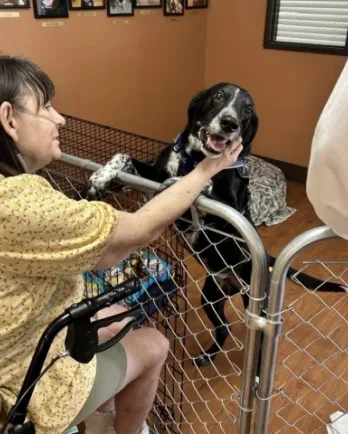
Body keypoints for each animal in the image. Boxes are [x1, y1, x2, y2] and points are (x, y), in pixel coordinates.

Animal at [82, 81, 346, 366]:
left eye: (248, 109)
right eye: (219, 95)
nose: (230, 123)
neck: (195, 159)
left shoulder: (228, 212)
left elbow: (200, 184)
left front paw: (181, 183)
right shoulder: (150, 179)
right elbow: (125, 156)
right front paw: (101, 177)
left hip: (257, 304)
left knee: (258, 341)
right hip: (210, 296)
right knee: (224, 328)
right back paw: (208, 355)